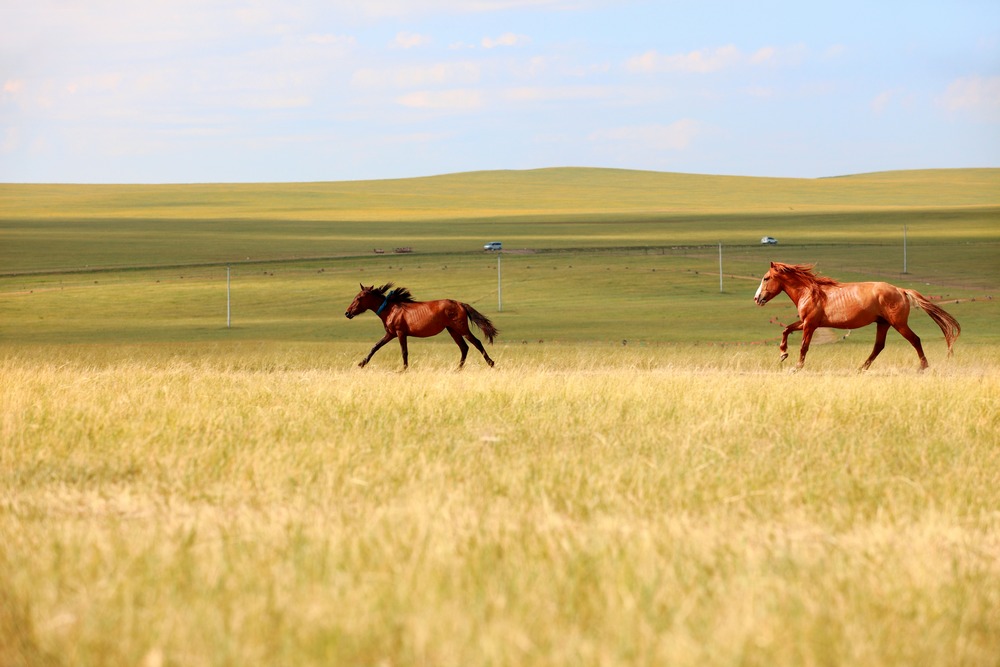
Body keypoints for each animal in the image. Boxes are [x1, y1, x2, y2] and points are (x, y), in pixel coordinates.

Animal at [346, 284, 498, 370]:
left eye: (358, 298)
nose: (347, 313)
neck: (391, 310)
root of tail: (460, 304)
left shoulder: (400, 333)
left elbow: (404, 352)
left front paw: (404, 369)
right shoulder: (390, 334)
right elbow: (375, 347)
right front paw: (362, 363)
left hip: (461, 329)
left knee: (476, 343)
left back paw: (491, 363)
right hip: (452, 330)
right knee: (464, 347)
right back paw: (457, 369)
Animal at [756, 262, 960, 370]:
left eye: (766, 278)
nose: (757, 298)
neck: (810, 292)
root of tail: (901, 290)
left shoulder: (810, 324)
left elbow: (804, 347)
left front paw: (796, 367)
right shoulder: (806, 322)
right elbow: (786, 329)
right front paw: (783, 354)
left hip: (898, 323)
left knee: (915, 340)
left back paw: (923, 367)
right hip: (883, 323)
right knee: (879, 346)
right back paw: (862, 368)